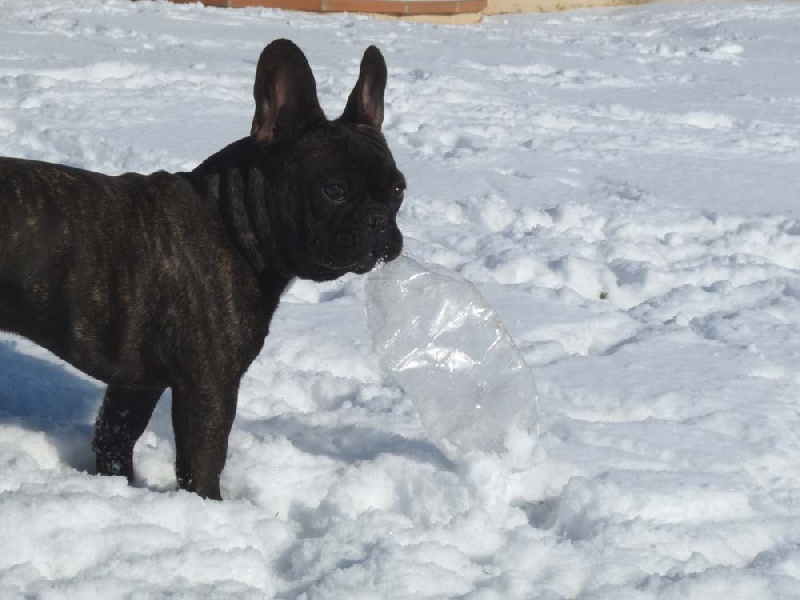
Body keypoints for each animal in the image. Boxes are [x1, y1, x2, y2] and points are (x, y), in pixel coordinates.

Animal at [0, 39, 404, 500]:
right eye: (334, 190)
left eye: (398, 190)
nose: (378, 219)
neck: (229, 222)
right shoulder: (209, 385)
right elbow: (202, 463)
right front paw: (209, 507)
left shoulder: (136, 384)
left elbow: (115, 438)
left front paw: (119, 488)